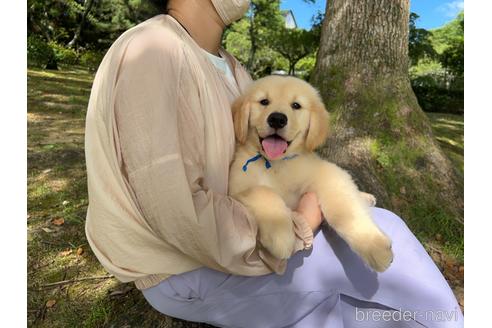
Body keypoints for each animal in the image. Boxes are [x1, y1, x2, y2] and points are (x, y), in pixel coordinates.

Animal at [227, 75, 392, 272]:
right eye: (264, 102)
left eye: (296, 105)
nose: (277, 119)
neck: (276, 164)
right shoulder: (236, 189)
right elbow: (263, 191)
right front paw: (281, 236)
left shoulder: (327, 173)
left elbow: (344, 209)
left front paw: (374, 246)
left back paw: (366, 197)